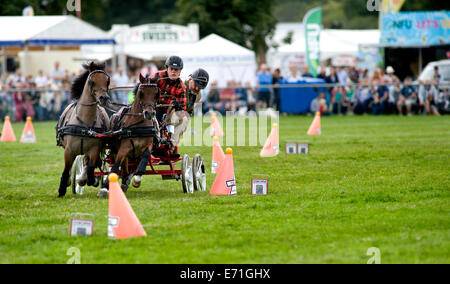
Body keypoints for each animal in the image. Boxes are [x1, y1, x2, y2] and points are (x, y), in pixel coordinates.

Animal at [56, 62, 110, 197]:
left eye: (107, 81)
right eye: (92, 81)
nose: (104, 98)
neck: (84, 124)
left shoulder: (94, 149)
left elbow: (90, 167)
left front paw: (92, 180)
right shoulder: (69, 150)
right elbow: (66, 169)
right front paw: (62, 188)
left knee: (88, 163)